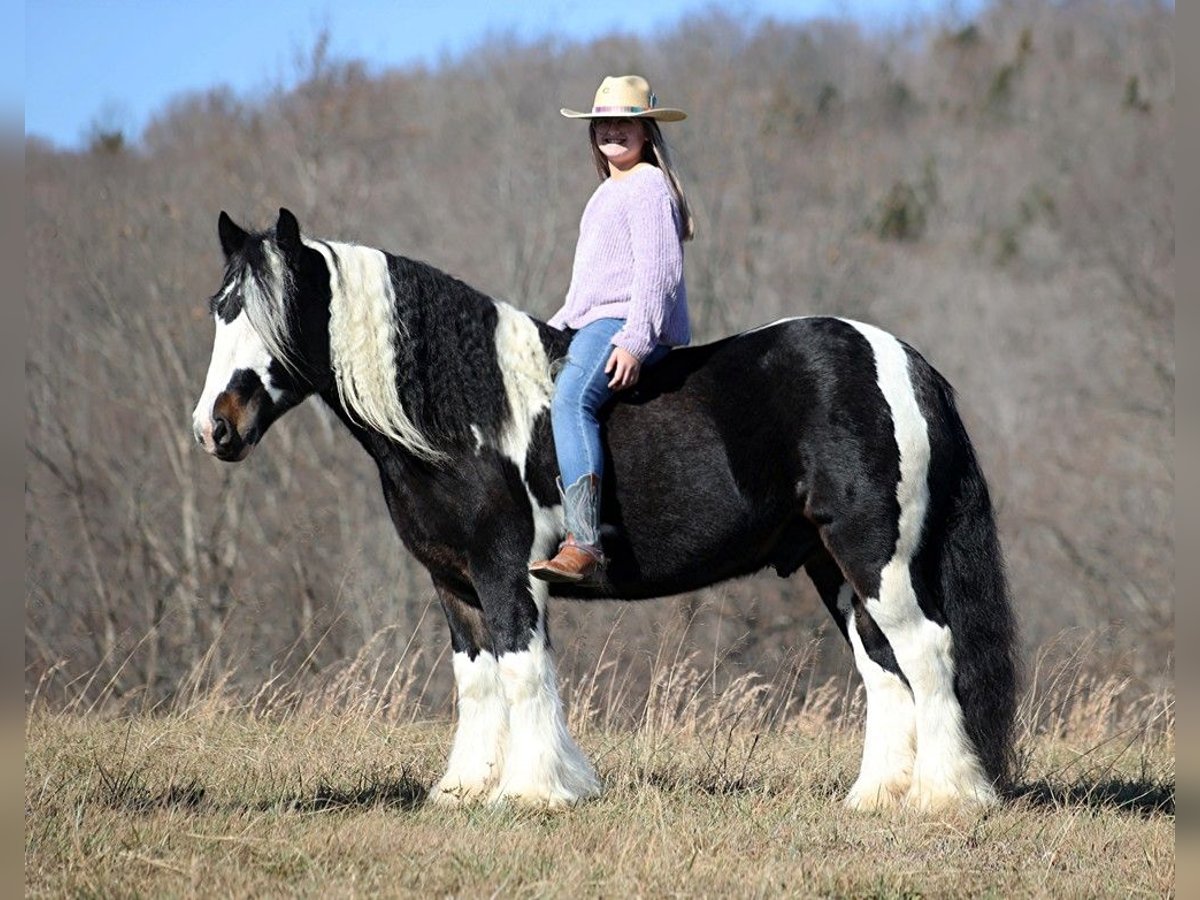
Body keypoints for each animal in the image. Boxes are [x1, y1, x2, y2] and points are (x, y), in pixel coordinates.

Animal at [192, 210, 1017, 811]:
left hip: (876, 555)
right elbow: (477, 681)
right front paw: (463, 790)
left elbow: (524, 672)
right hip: (832, 565)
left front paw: (534, 792)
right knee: (883, 666)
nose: (214, 429)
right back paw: (878, 797)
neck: (466, 418)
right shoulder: (454, 584)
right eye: (219, 310)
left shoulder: (507, 572)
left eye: (274, 317)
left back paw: (947, 797)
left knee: (928, 651)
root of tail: (900, 359)